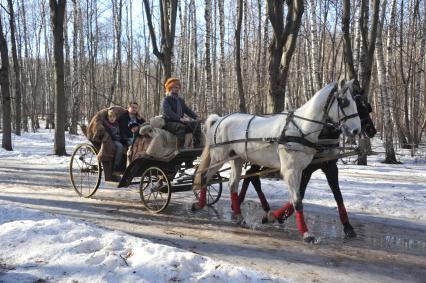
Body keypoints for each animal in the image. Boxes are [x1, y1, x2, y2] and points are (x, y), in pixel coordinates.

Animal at [193, 80, 362, 244]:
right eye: (344, 101)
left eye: (356, 100)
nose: (356, 131)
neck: (301, 129)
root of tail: (219, 120)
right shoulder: (291, 170)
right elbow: (297, 201)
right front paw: (306, 234)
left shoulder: (302, 170)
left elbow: (298, 197)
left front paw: (274, 216)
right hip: (219, 158)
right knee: (205, 177)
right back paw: (200, 204)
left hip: (237, 159)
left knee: (232, 184)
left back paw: (240, 218)